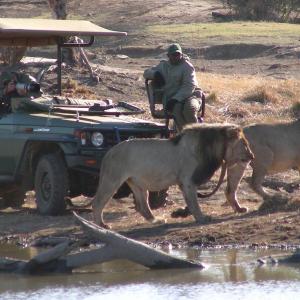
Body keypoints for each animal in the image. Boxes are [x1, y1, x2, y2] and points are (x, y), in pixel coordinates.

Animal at [92, 122, 253, 227]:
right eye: (245, 144)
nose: (252, 156)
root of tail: (109, 152)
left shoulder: (186, 182)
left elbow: (191, 201)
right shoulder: (188, 181)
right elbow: (194, 203)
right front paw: (202, 218)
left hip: (137, 183)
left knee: (142, 206)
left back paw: (156, 220)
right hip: (112, 180)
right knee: (98, 202)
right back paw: (101, 225)